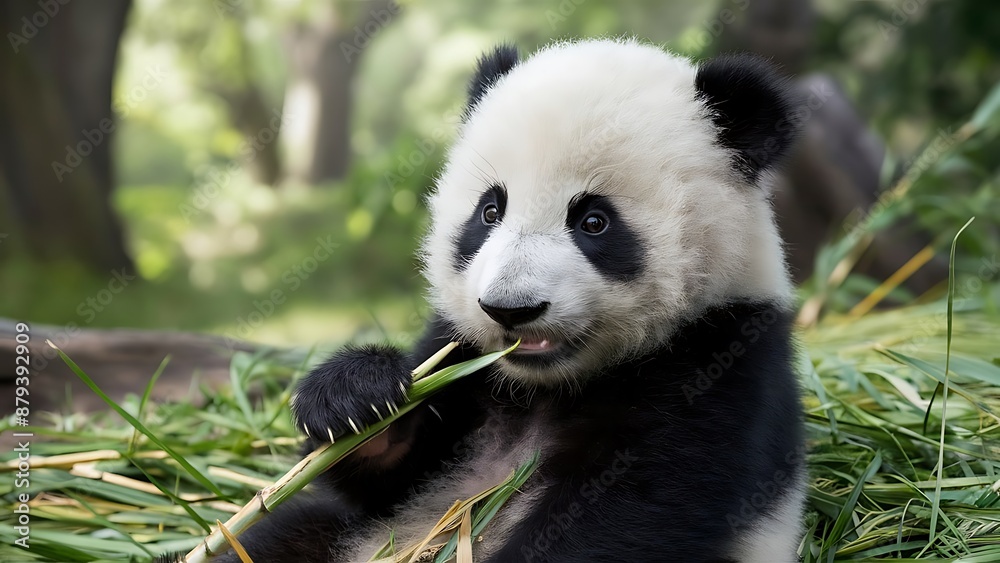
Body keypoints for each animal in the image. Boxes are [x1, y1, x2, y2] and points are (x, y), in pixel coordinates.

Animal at [201, 38, 805, 563]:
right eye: (490, 211)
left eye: (594, 221)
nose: (511, 309)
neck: (546, 388)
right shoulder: (464, 357)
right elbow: (393, 473)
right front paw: (354, 396)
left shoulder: (718, 362)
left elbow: (632, 510)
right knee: (280, 537)